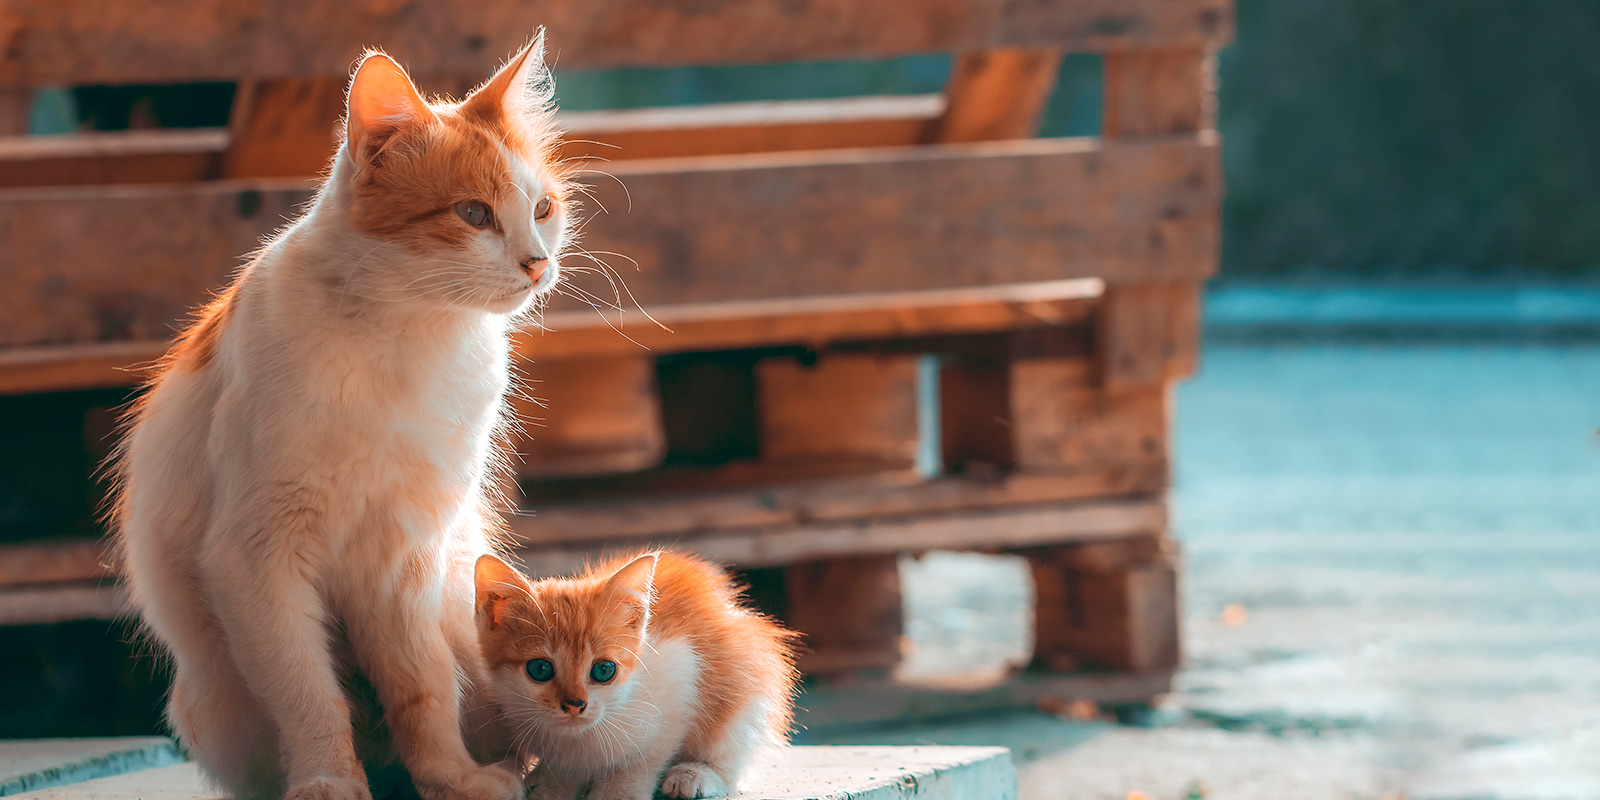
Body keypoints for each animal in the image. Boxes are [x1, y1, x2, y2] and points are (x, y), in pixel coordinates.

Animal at [108, 34, 569, 800]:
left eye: (542, 209)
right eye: (473, 215)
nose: (538, 265)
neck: (408, 336)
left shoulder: (403, 560)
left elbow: (421, 688)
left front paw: (452, 778)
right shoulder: (258, 557)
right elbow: (309, 695)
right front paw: (328, 780)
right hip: (212, 697)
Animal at [470, 550, 800, 800]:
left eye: (604, 670)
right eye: (540, 669)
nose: (575, 704)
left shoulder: (680, 676)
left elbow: (645, 755)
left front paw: (617, 793)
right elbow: (562, 771)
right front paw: (555, 787)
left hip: (747, 678)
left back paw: (697, 773)